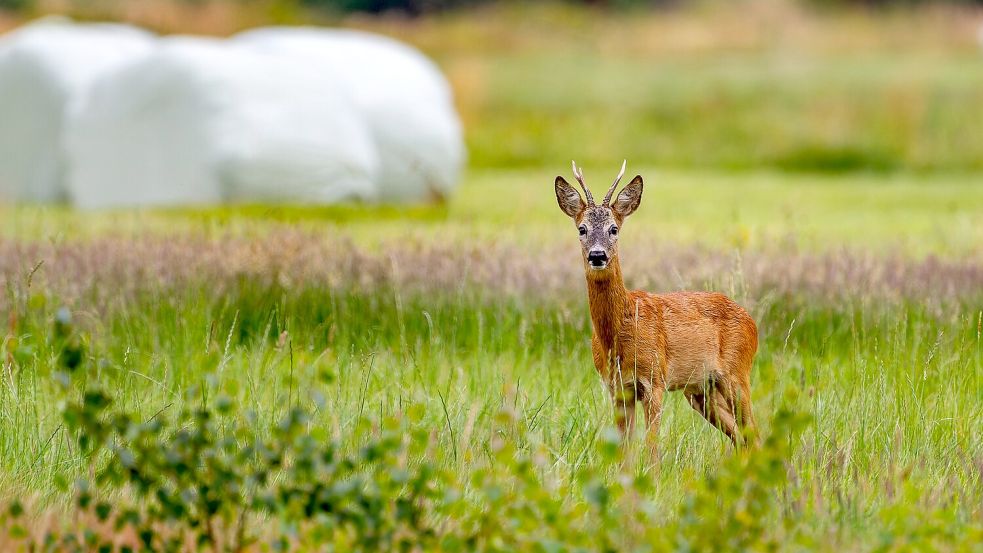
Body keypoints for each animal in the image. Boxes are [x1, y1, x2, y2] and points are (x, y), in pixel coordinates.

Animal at [552, 161, 760, 452]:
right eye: (582, 229)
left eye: (614, 229)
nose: (597, 255)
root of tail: (752, 322)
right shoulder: (618, 388)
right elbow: (624, 450)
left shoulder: (655, 380)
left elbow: (651, 447)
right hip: (701, 391)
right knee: (741, 437)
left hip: (737, 373)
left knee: (755, 433)